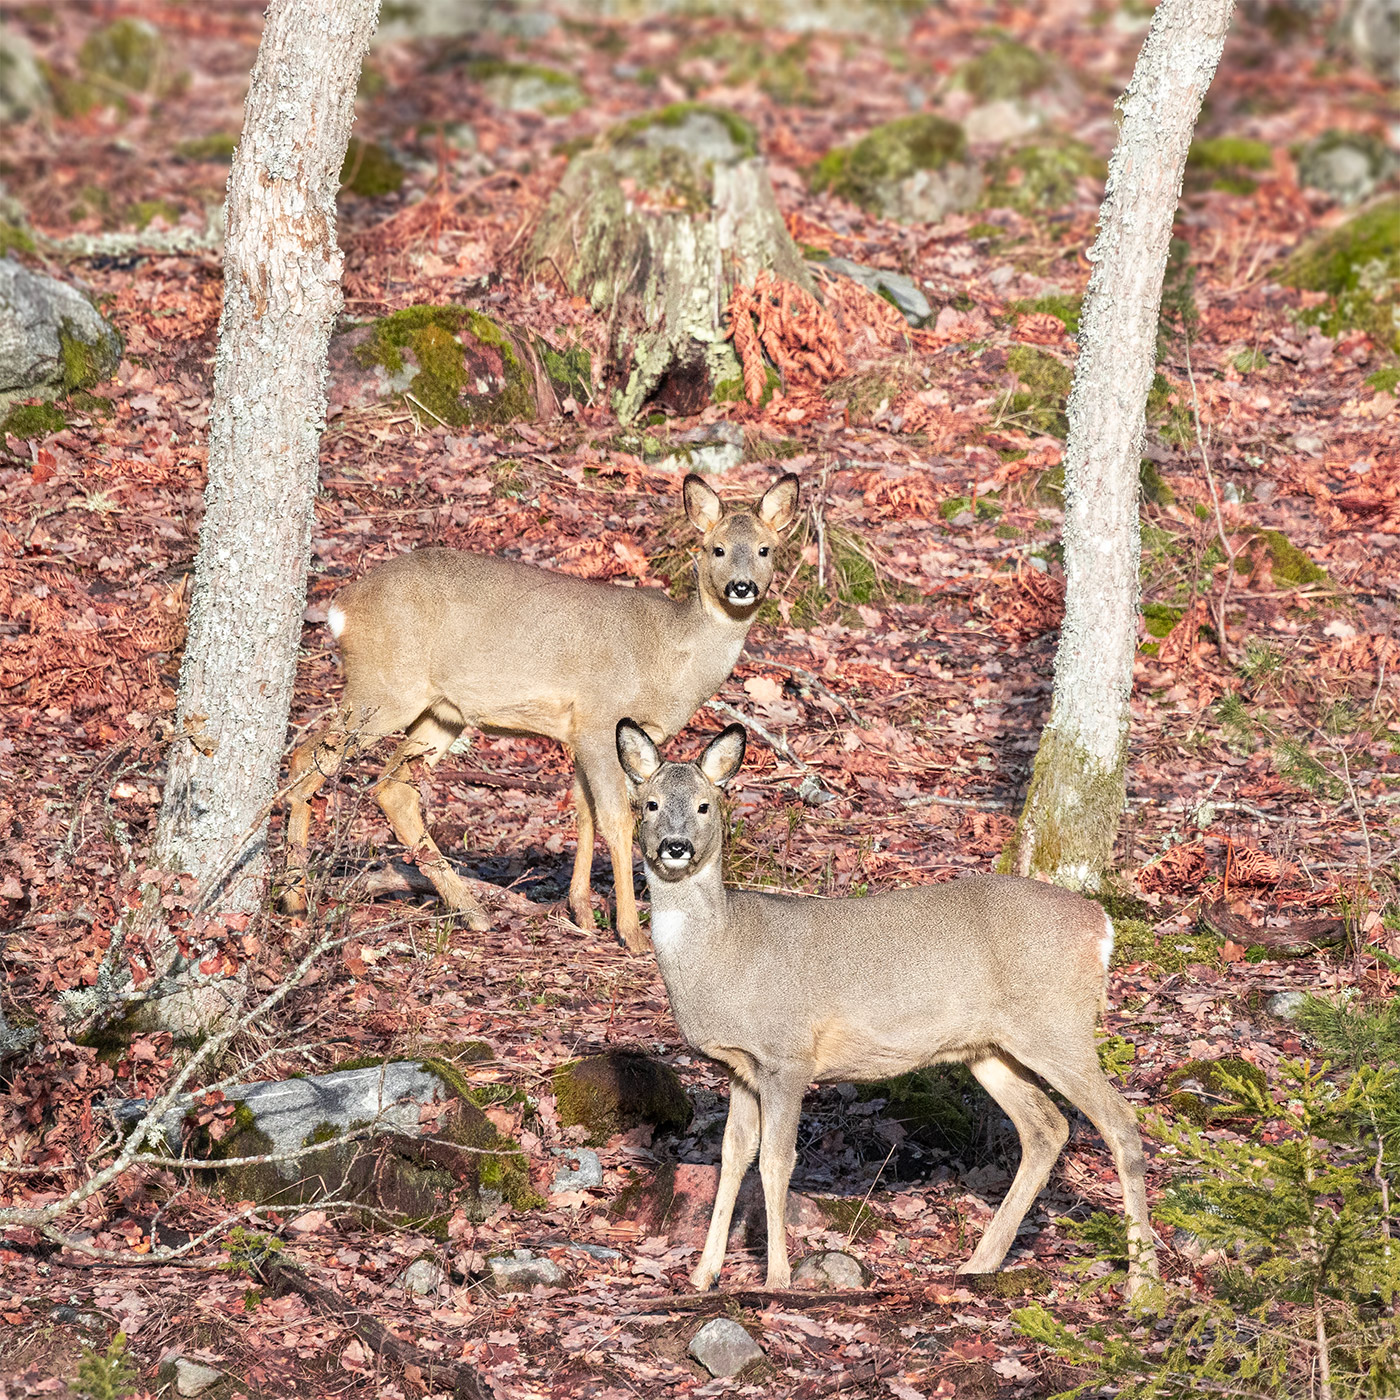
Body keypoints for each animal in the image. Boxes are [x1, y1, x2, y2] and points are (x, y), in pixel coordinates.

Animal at [277, 473, 800, 952]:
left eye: (765, 549)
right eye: (716, 549)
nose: (741, 587)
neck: (670, 657)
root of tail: (341, 607)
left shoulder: (581, 732)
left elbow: (584, 812)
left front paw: (583, 912)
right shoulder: (599, 716)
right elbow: (616, 819)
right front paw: (631, 933)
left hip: (442, 712)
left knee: (393, 787)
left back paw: (472, 912)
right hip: (384, 688)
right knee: (309, 757)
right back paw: (295, 900)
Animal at [618, 722, 1164, 1299]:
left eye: (705, 805)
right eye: (650, 803)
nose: (675, 847)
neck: (725, 953)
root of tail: (1101, 923)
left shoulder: (788, 1056)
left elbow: (775, 1162)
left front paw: (777, 1278)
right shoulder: (741, 1066)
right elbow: (731, 1157)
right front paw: (703, 1275)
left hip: (1057, 1025)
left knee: (1120, 1121)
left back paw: (1144, 1282)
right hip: (991, 1048)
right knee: (1047, 1128)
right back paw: (980, 1262)